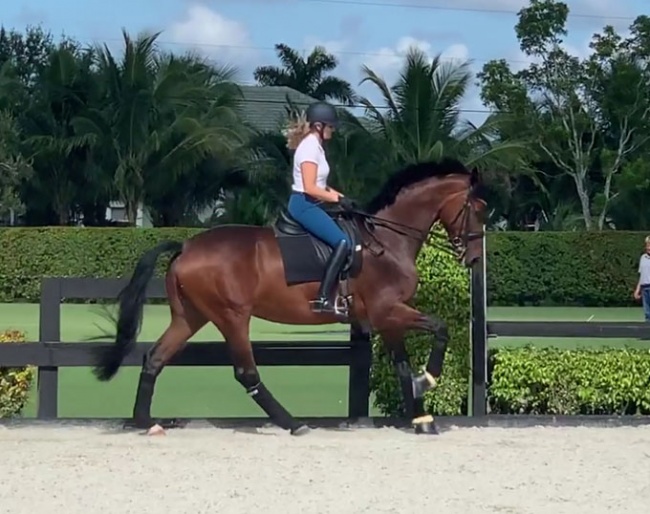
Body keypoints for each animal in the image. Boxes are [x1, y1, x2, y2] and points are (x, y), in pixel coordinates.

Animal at [93, 156, 484, 432]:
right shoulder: (388, 309)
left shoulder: (387, 316)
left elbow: (403, 364)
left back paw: (146, 422)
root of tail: (187, 246)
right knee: (246, 373)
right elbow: (441, 328)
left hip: (191, 316)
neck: (386, 243)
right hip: (231, 316)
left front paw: (421, 417)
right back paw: (293, 424)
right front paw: (427, 381)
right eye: (478, 210)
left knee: (155, 358)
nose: (475, 258)